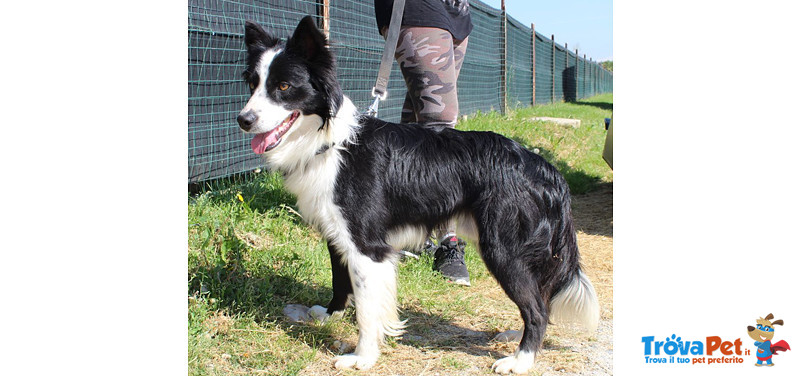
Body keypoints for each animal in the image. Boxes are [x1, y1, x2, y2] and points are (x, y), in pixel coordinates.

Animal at [234, 16, 596, 374]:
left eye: (283, 87)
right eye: (252, 84)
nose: (243, 120)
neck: (331, 141)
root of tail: (546, 168)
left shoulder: (368, 247)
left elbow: (367, 311)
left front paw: (363, 357)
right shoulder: (338, 234)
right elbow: (340, 280)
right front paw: (330, 314)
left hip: (504, 249)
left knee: (538, 309)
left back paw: (521, 360)